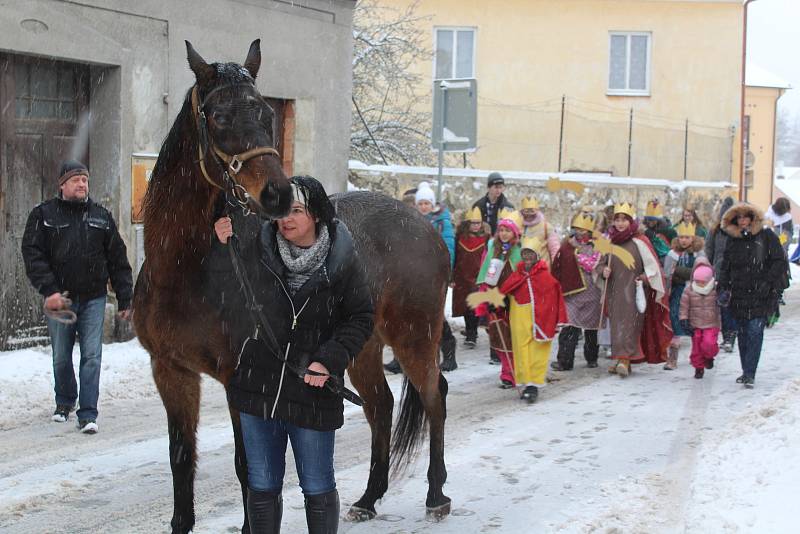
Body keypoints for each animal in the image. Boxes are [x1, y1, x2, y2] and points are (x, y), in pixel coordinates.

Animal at [133, 39, 450, 532]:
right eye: (217, 114)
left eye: (265, 111)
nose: (278, 194)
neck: (185, 270)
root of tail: (425, 226)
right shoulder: (171, 372)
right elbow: (181, 460)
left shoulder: (239, 379)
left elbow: (250, 469)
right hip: (361, 346)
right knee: (380, 407)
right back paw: (368, 497)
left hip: (415, 336)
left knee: (435, 399)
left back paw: (436, 495)